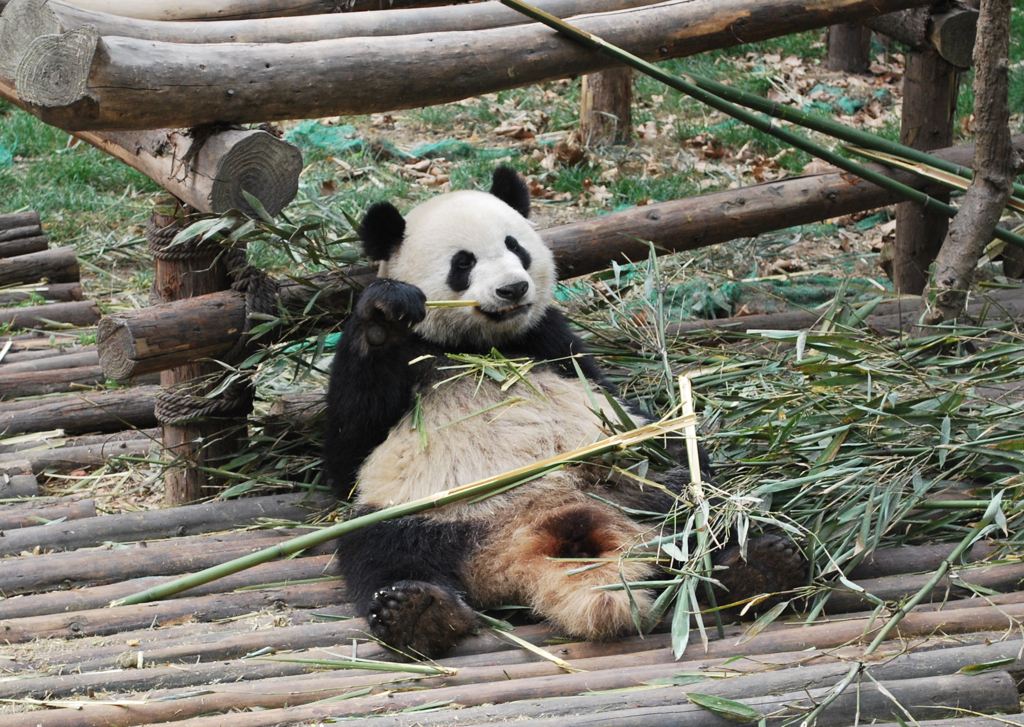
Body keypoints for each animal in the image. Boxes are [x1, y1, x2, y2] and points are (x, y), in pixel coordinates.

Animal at [323, 168, 802, 659]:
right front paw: (384, 316)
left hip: (636, 485)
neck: (479, 347)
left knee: (702, 501)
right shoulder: (408, 367)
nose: (513, 289)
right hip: (429, 513)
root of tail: (532, 538)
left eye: (515, 246)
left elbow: (621, 404)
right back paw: (416, 612)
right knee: (380, 549)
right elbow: (349, 448)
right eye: (463, 263)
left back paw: (758, 564)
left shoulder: (550, 340)